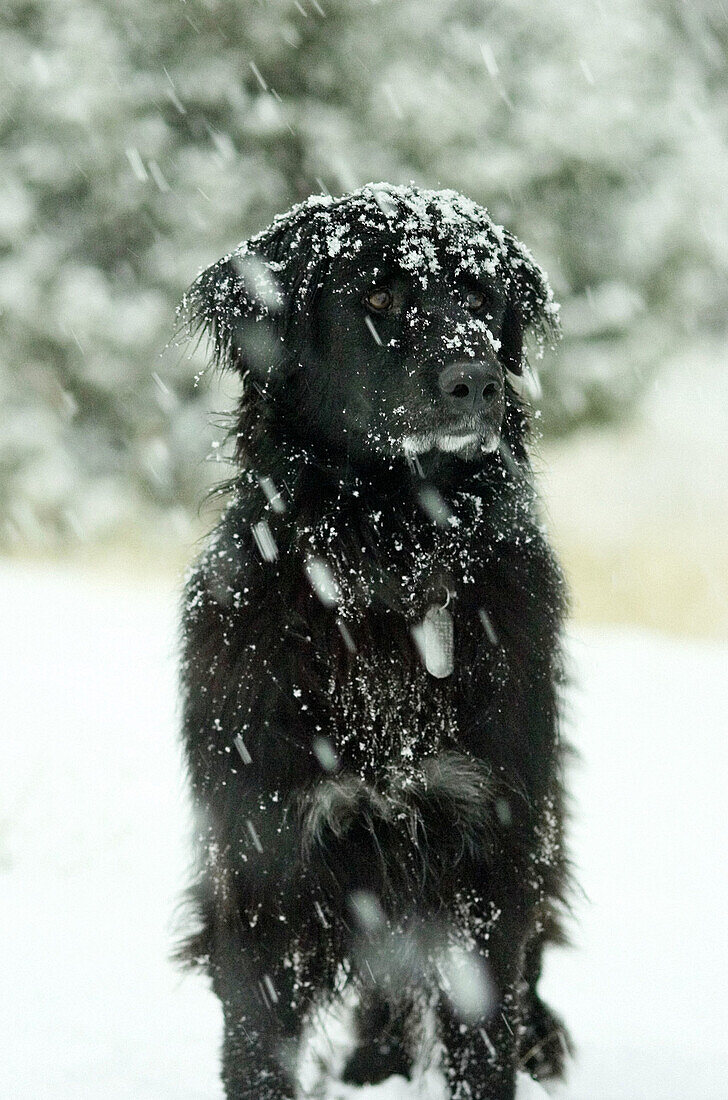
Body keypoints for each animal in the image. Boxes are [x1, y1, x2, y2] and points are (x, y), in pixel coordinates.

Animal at [179, 184, 571, 1095]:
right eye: (380, 298)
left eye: (478, 297)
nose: (477, 380)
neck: (387, 562)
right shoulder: (266, 853)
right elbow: (257, 1043)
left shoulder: (489, 838)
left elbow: (482, 1030)